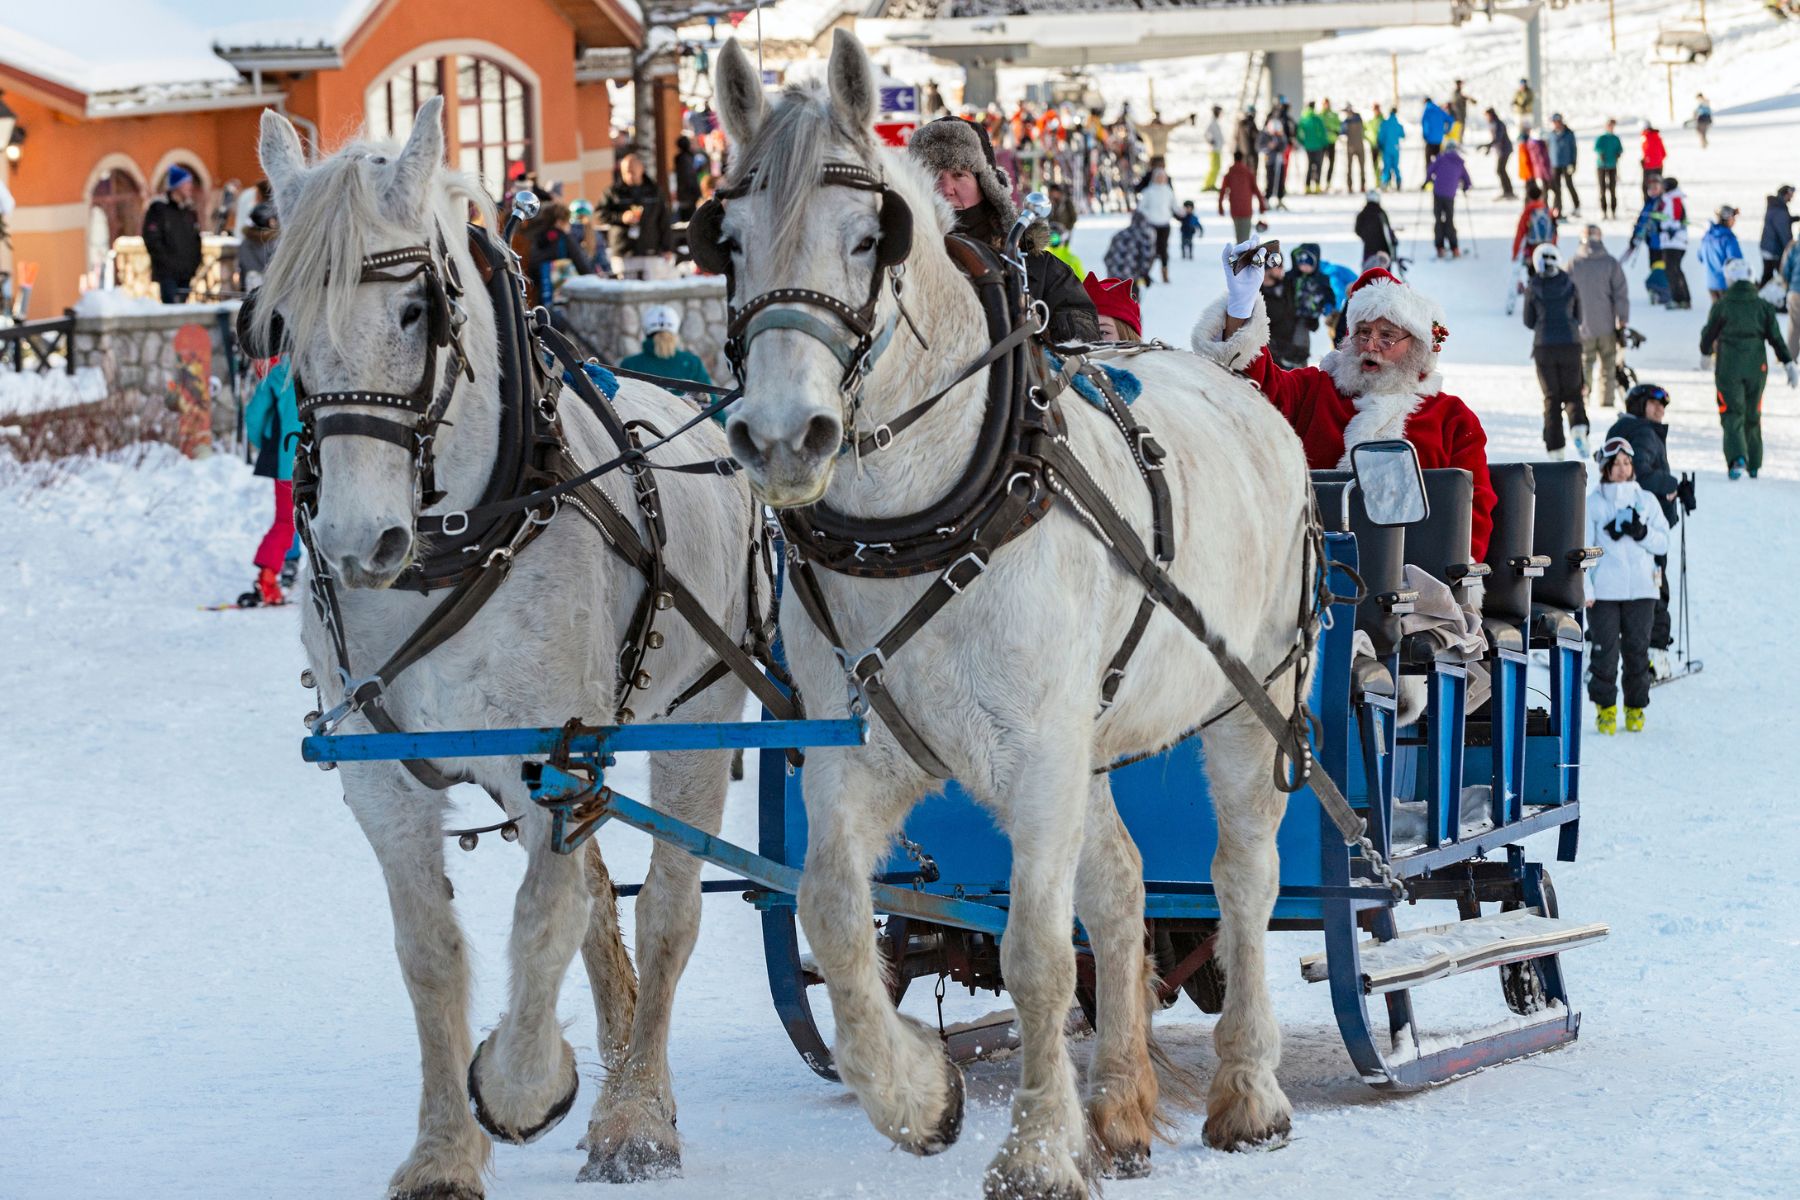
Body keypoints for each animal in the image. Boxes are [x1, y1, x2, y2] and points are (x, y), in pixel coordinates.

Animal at [254, 99, 761, 1196]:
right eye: (284, 323)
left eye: (416, 312)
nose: (356, 542)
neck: (451, 547)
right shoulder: (383, 780)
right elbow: (434, 953)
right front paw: (444, 1149)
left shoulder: (553, 756)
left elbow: (543, 916)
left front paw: (525, 1085)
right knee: (601, 897)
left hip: (698, 717)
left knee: (664, 910)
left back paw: (635, 1115)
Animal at [710, 31, 1314, 1196]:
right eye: (728, 243)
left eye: (869, 239)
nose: (782, 437)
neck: (925, 523)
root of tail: (1245, 384)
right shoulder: (861, 751)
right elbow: (833, 915)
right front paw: (919, 1096)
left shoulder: (1036, 759)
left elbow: (1034, 953)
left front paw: (1037, 1149)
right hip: (1095, 738)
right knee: (1123, 887)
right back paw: (1118, 1105)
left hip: (1249, 706)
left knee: (1241, 881)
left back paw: (1250, 1092)